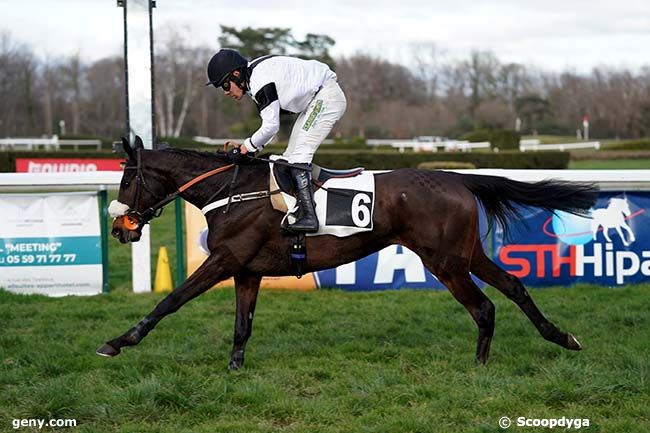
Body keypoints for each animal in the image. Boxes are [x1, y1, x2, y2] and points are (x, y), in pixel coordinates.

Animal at [96, 137, 596, 370]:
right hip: (466, 253)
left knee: (484, 306)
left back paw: (479, 365)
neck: (233, 191)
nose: (118, 225)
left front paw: (118, 341)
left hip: (445, 261)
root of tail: (457, 177)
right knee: (513, 285)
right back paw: (562, 337)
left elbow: (169, 301)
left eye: (127, 179)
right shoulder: (247, 270)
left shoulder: (223, 260)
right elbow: (242, 324)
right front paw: (235, 367)